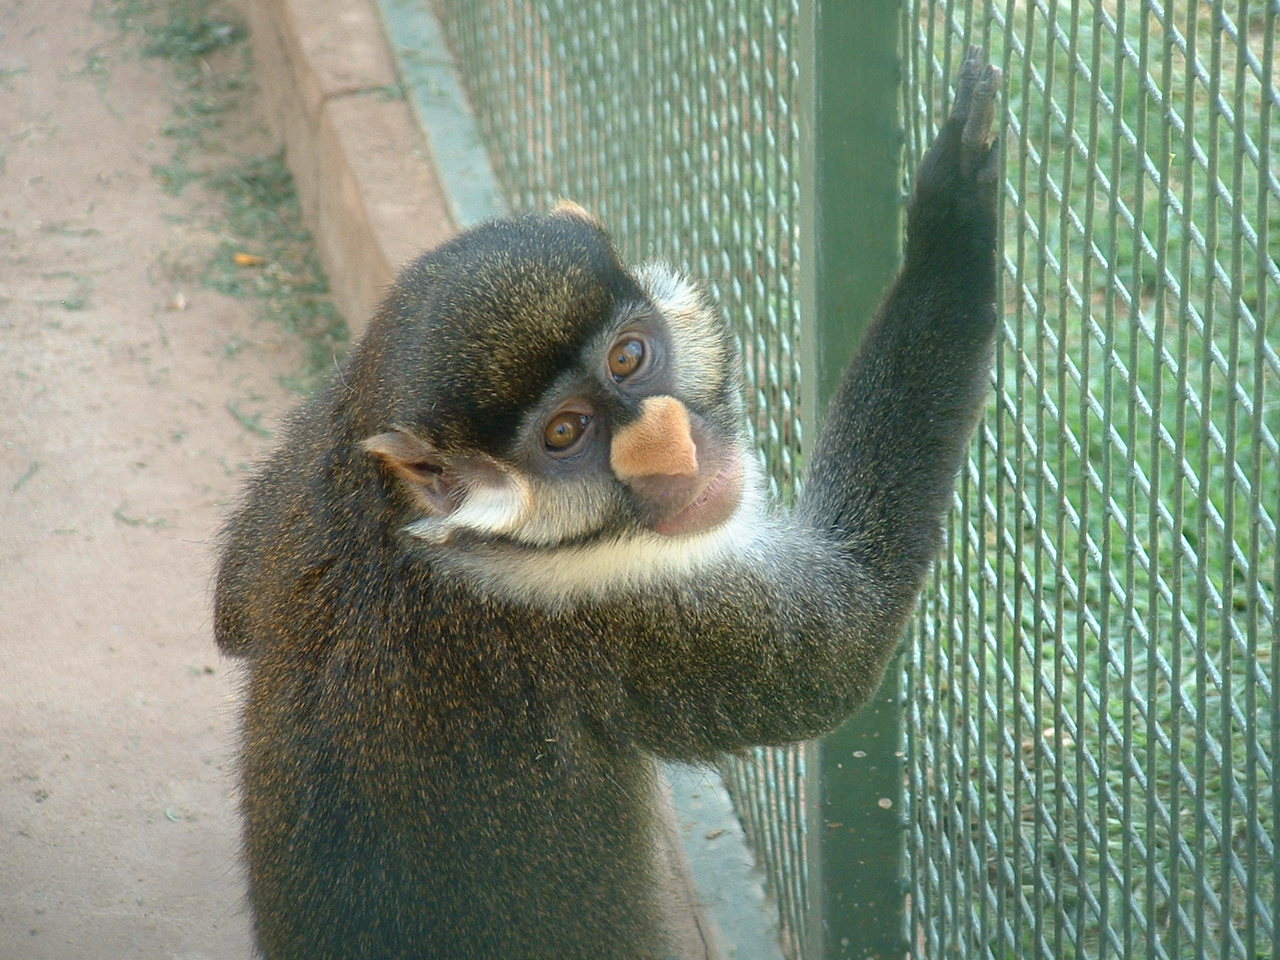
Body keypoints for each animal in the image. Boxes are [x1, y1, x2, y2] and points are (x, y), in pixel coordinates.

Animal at [214, 46, 1002, 960]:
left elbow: (234, 603)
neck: (427, 533)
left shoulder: (319, 467)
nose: (671, 445)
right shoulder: (604, 621)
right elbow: (849, 636)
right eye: (566, 433)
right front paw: (952, 219)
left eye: (629, 357)